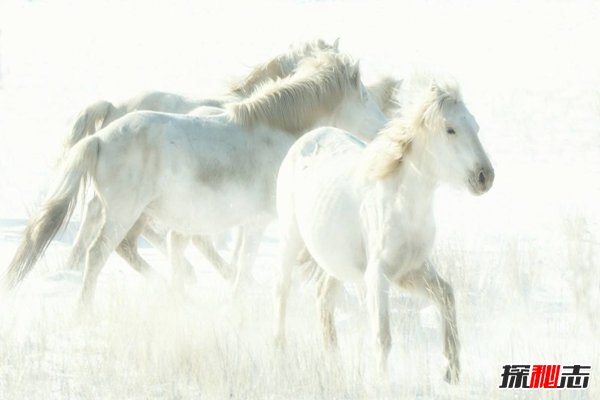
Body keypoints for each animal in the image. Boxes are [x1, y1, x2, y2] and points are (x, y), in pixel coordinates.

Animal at [2, 50, 386, 306]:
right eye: (365, 95)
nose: (383, 129)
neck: (277, 132)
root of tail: (100, 138)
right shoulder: (260, 221)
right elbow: (248, 264)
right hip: (125, 213)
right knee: (98, 253)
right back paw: (84, 309)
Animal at [274, 73, 494, 382]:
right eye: (450, 129)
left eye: (475, 126)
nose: (485, 176)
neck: (402, 205)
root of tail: (307, 139)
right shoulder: (379, 276)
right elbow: (383, 336)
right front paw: (382, 383)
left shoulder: (411, 271)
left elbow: (447, 296)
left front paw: (451, 371)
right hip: (290, 238)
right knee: (282, 289)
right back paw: (279, 350)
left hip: (335, 260)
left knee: (324, 297)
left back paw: (333, 360)